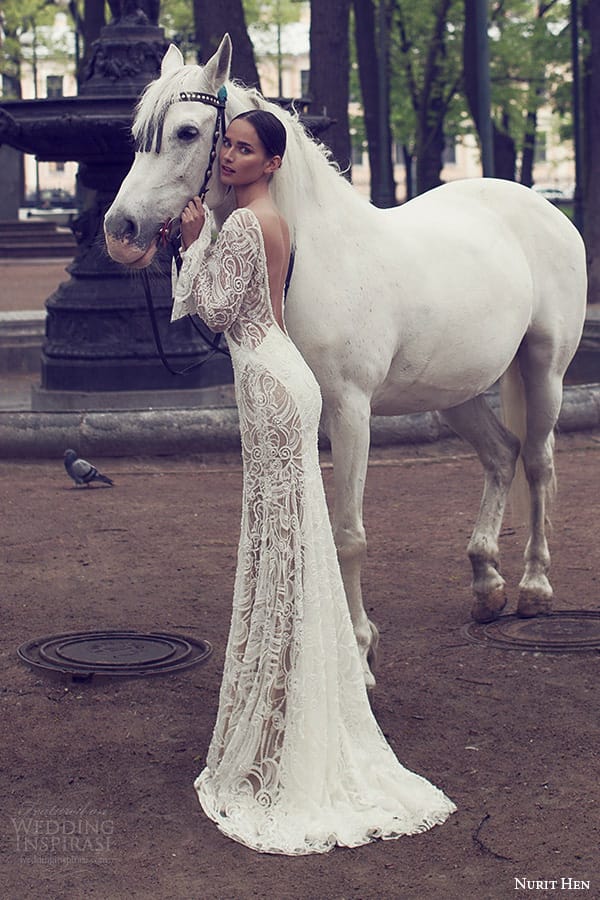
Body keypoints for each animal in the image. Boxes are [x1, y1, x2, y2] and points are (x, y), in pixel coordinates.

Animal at [103, 31, 584, 684]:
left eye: (185, 132)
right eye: (137, 135)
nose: (120, 229)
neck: (313, 251)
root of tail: (544, 208)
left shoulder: (351, 411)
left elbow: (348, 532)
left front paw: (358, 652)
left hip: (544, 372)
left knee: (537, 461)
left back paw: (534, 587)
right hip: (454, 392)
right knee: (501, 455)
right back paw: (486, 582)